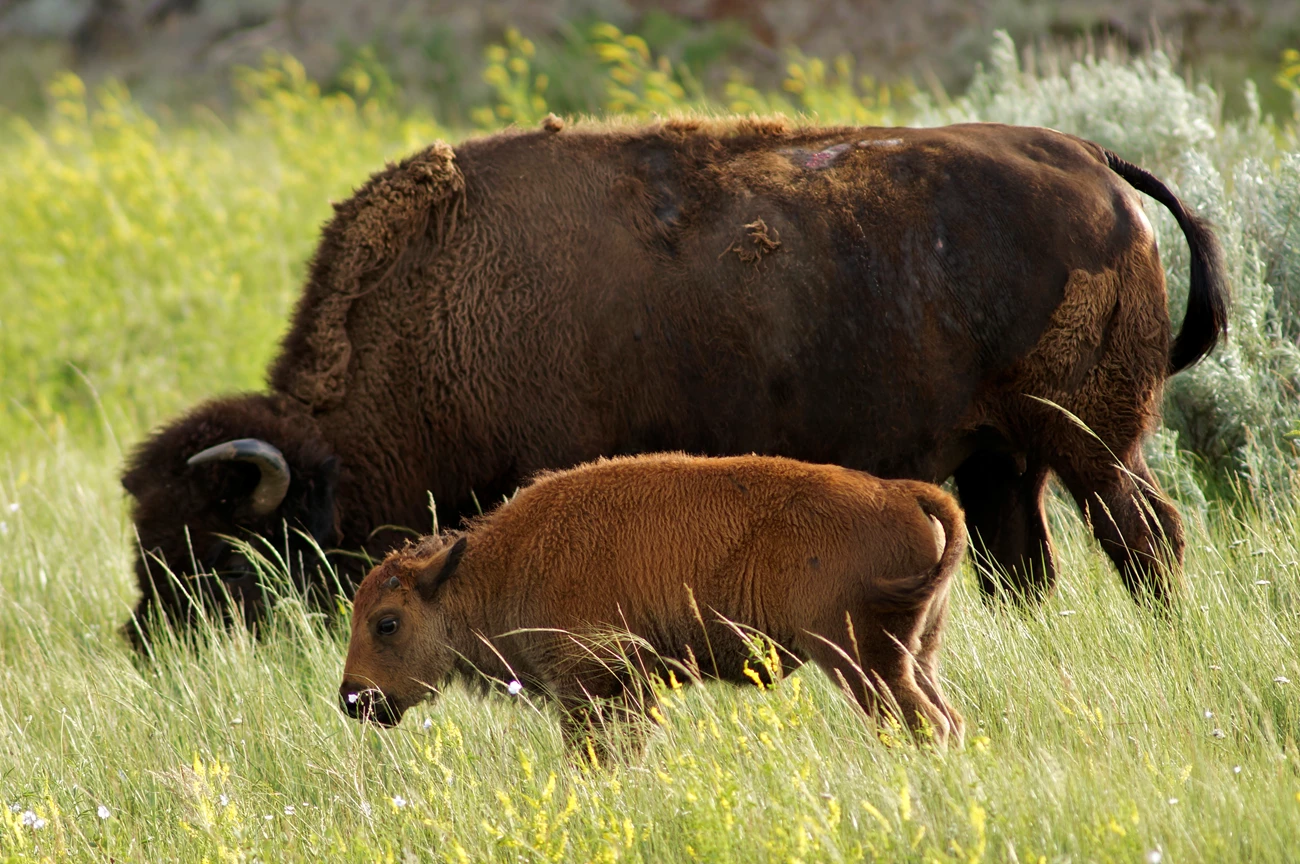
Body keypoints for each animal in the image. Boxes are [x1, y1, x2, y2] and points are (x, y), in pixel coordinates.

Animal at [120, 117, 1228, 647]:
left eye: (223, 550)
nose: (151, 644)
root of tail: (1096, 164)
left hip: (1091, 442)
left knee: (1146, 536)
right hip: (1002, 460)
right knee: (1025, 562)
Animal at [338, 453, 968, 748]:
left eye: (387, 623)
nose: (353, 700)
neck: (507, 563)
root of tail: (898, 491)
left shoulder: (593, 688)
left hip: (858, 659)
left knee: (923, 724)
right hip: (916, 652)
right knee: (949, 718)